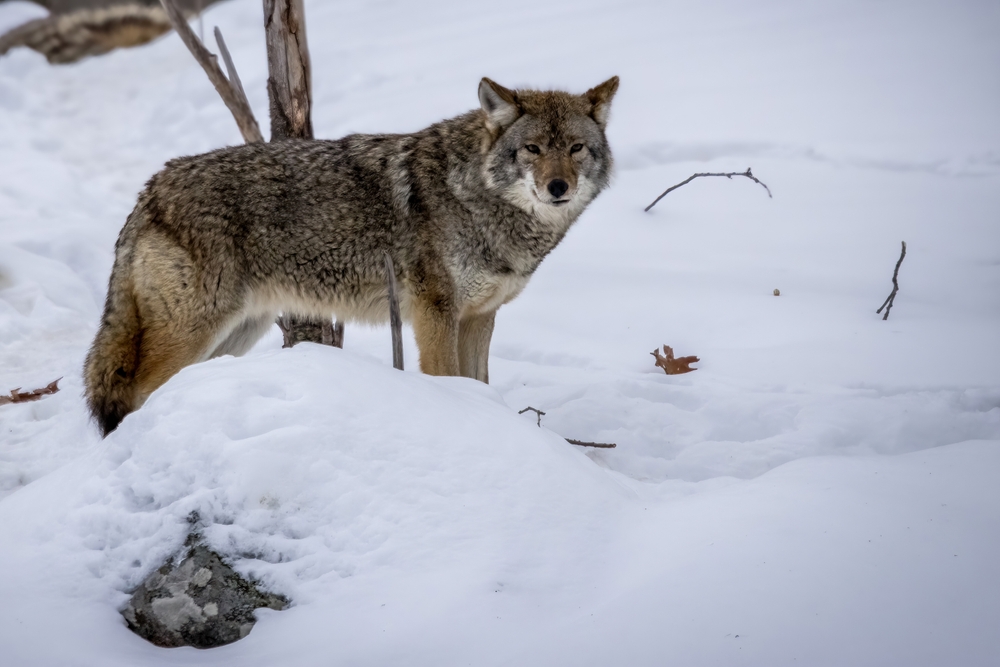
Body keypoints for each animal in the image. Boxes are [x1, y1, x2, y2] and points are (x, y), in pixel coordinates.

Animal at [84, 76, 619, 435]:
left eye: (575, 148)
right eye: (532, 149)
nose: (558, 187)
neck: (477, 196)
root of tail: (151, 188)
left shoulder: (479, 316)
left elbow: (480, 383)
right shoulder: (435, 313)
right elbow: (449, 379)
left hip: (235, 333)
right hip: (196, 330)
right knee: (133, 393)